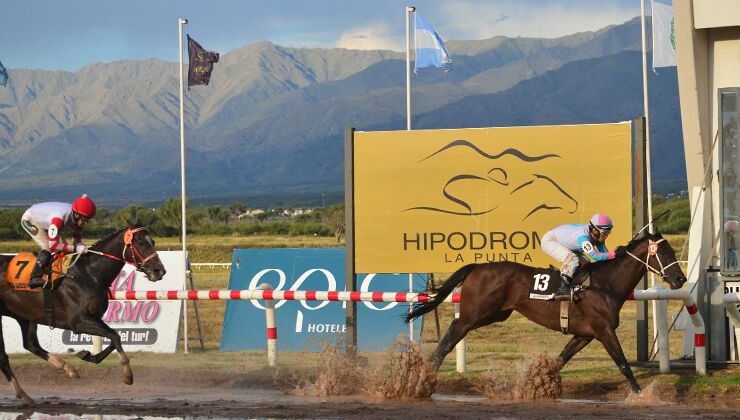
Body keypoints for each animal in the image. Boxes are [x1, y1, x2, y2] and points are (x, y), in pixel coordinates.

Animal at [0, 226, 165, 404]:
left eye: (153, 242)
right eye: (140, 242)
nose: (159, 271)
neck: (89, 274)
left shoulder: (94, 318)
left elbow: (114, 337)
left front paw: (87, 355)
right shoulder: (78, 322)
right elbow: (114, 336)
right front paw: (128, 375)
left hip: (25, 314)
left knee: (30, 344)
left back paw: (64, 370)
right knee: (5, 356)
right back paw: (23, 392)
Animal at [408, 231, 684, 396]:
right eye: (663, 252)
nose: (680, 279)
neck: (605, 284)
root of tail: (478, 267)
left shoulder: (584, 335)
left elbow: (558, 362)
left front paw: (532, 385)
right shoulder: (604, 330)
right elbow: (624, 364)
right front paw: (641, 395)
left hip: (495, 314)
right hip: (474, 315)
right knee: (448, 340)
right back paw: (423, 380)